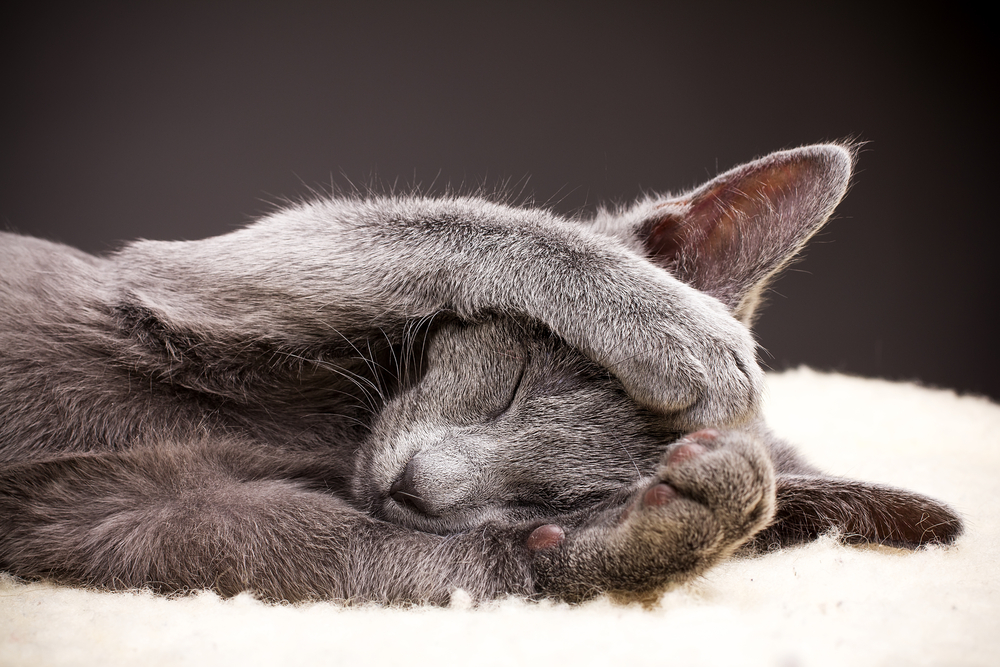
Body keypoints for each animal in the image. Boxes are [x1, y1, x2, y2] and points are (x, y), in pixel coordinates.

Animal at [0, 146, 960, 604]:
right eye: (521, 372)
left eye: (560, 497)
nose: (418, 485)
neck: (336, 435)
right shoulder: (177, 279)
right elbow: (450, 221)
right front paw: (672, 324)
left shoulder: (117, 517)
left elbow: (406, 561)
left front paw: (664, 532)